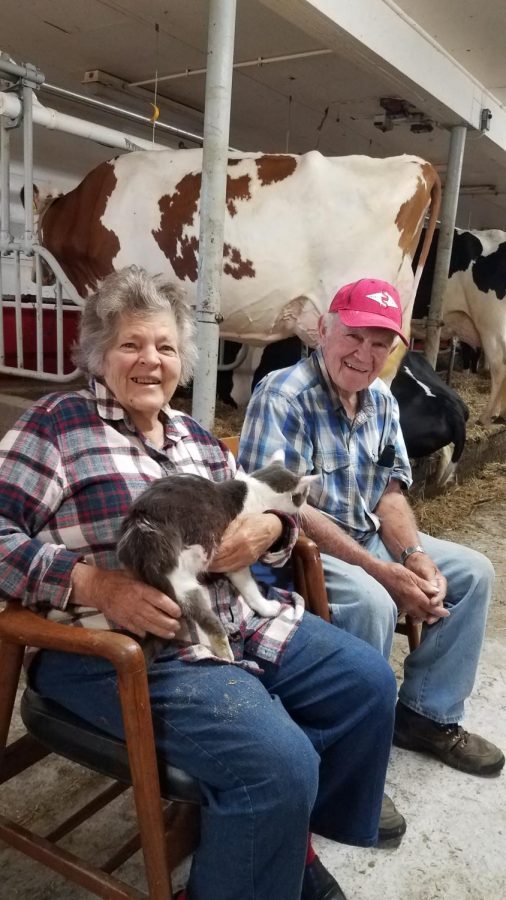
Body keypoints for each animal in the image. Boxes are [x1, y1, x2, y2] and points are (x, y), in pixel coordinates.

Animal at [116, 458, 318, 660]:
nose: (306, 506)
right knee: (205, 618)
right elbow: (250, 588)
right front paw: (267, 608)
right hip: (180, 578)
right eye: (304, 495)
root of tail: (141, 532)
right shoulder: (238, 559)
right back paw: (225, 653)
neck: (254, 490)